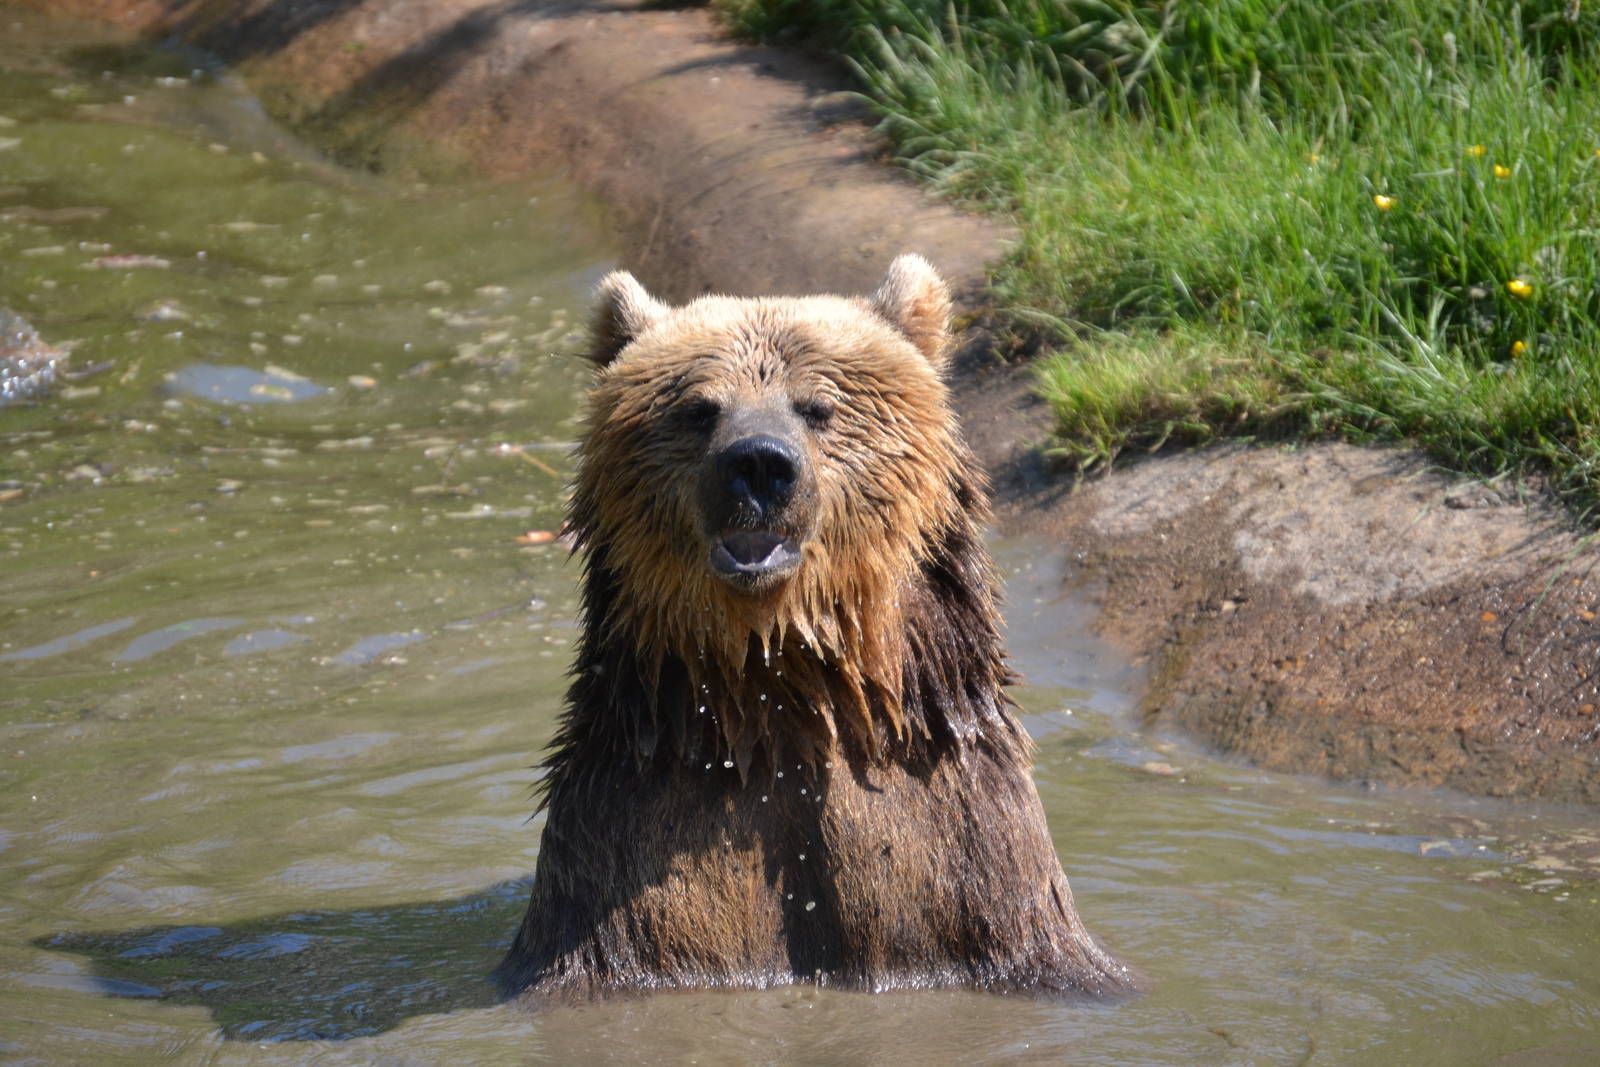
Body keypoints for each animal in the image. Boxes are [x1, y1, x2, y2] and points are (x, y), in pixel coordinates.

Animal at [494, 254, 1134, 999]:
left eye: (818, 407)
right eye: (700, 408)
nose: (758, 463)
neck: (783, 697)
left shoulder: (963, 859)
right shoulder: (627, 858)